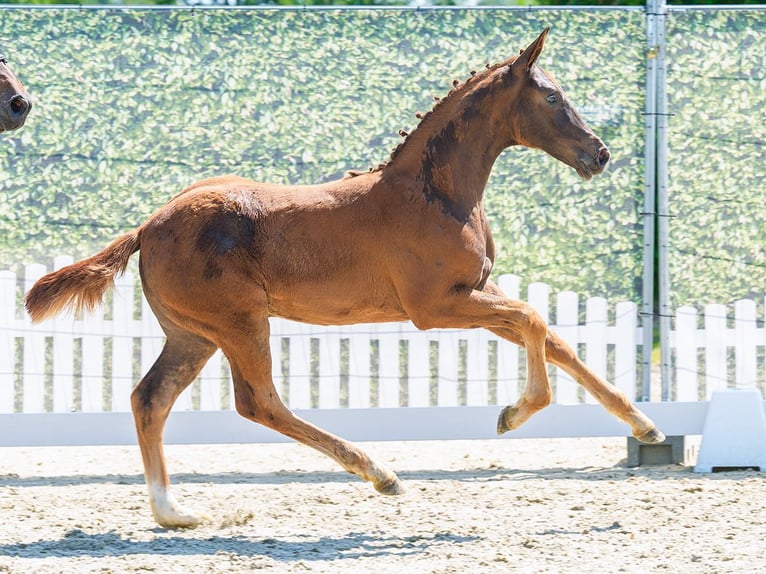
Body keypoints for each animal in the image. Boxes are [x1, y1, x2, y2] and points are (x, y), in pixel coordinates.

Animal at [25, 29, 664, 529]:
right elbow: (535, 321)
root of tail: (148, 225)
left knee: (151, 398)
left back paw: (173, 512)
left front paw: (646, 426)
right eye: (552, 96)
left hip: (193, 334)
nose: (600, 154)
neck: (433, 195)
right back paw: (381, 474)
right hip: (238, 324)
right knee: (259, 403)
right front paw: (513, 413)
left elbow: (554, 338)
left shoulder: (475, 292)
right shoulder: (436, 307)